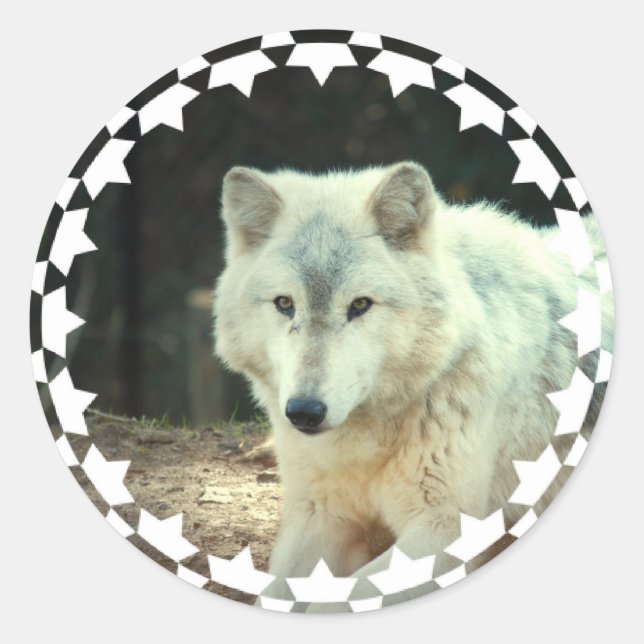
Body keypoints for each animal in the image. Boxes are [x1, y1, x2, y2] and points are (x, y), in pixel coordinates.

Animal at [212, 161, 612, 611]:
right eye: (285, 304)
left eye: (360, 305)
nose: (304, 412)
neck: (366, 442)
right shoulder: (318, 513)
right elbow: (276, 593)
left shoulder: (447, 527)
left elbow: (341, 599)